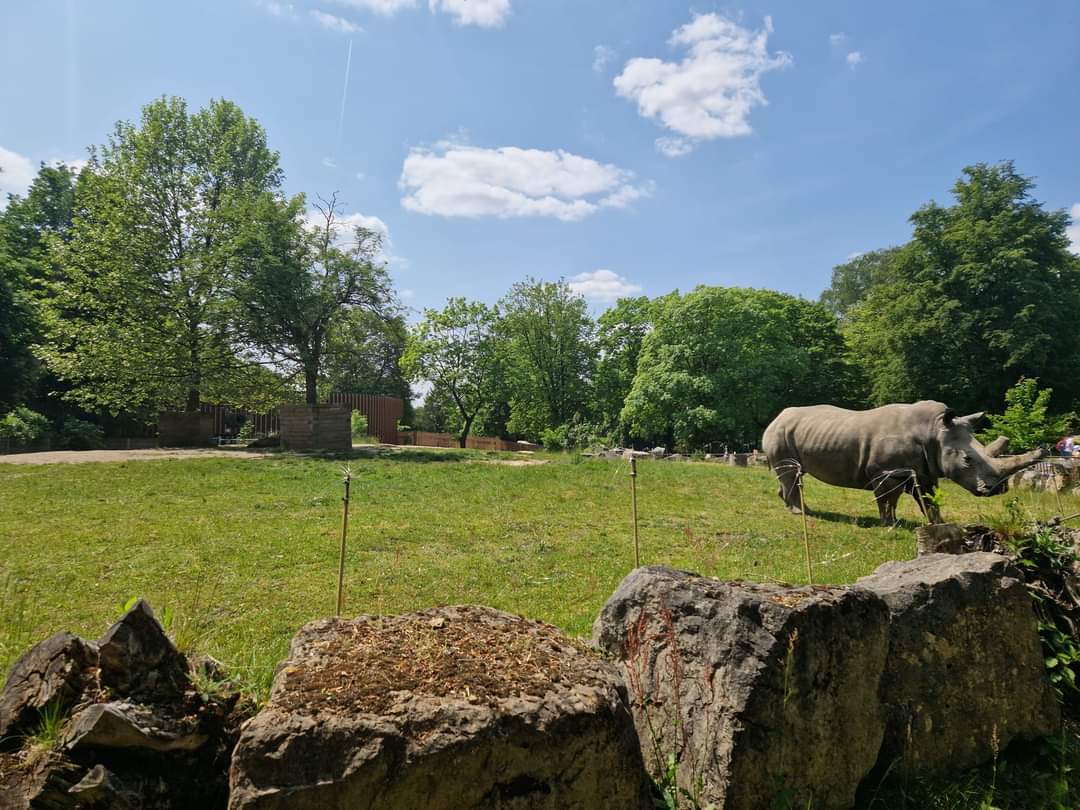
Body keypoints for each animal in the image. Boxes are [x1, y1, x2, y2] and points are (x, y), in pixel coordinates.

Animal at [761, 401, 1045, 524]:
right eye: (967, 459)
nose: (998, 489)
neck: (934, 432)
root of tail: (776, 417)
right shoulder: (887, 472)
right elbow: (887, 499)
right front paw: (890, 523)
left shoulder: (925, 471)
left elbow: (929, 500)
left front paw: (938, 524)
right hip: (780, 433)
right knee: (790, 473)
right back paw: (799, 513)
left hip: (792, 432)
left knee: (793, 475)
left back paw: (800, 509)